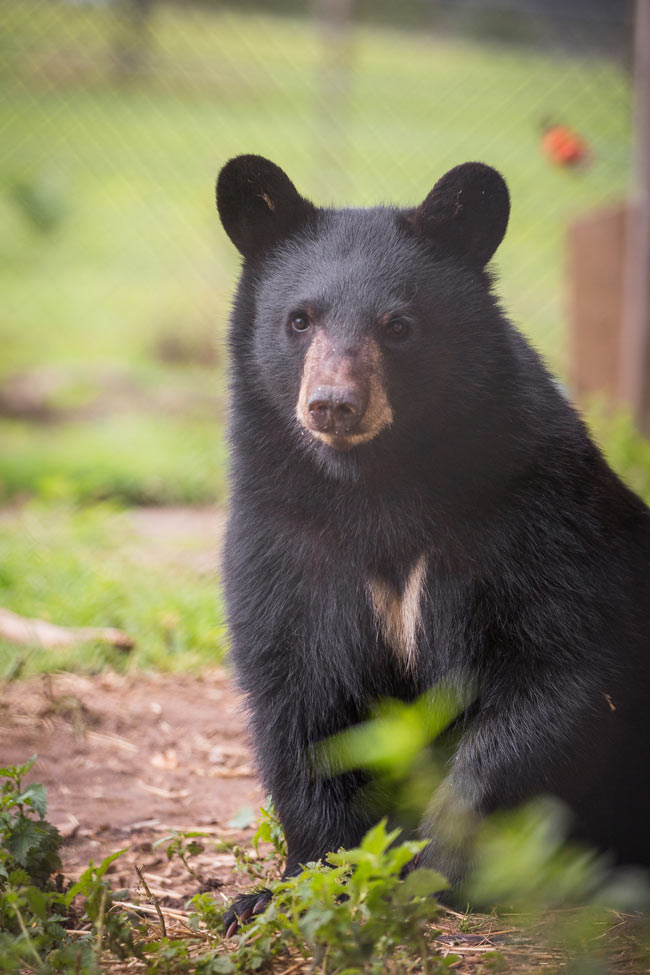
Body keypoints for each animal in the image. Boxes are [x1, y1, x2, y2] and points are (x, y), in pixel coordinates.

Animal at [215, 154, 648, 932]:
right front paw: (287, 886)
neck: (376, 488)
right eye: (299, 319)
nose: (334, 405)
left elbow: (556, 674)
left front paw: (429, 866)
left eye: (398, 324)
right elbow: (301, 694)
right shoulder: (286, 535)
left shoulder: (533, 518)